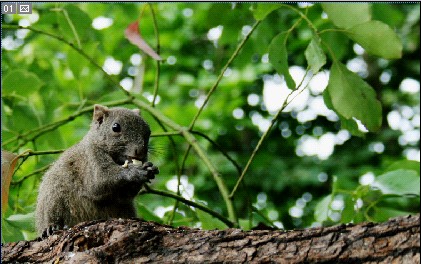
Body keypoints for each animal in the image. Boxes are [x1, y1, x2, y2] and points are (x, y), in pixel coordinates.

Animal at [35, 104, 158, 236]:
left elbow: (127, 193)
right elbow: (99, 181)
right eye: (115, 127)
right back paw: (51, 227)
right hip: (53, 196)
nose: (140, 151)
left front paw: (150, 168)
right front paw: (135, 171)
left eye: (148, 130)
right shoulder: (89, 161)